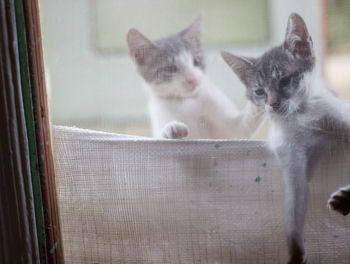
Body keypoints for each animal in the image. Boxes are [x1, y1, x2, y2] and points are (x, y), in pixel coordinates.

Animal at [126, 14, 262, 138]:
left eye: (196, 61)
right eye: (171, 69)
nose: (193, 79)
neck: (188, 101)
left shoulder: (231, 131)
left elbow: (239, 130)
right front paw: (171, 129)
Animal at [224, 13, 350, 264]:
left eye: (284, 81)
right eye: (260, 92)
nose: (272, 104)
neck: (300, 118)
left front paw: (346, 198)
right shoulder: (293, 162)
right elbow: (292, 212)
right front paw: (295, 253)